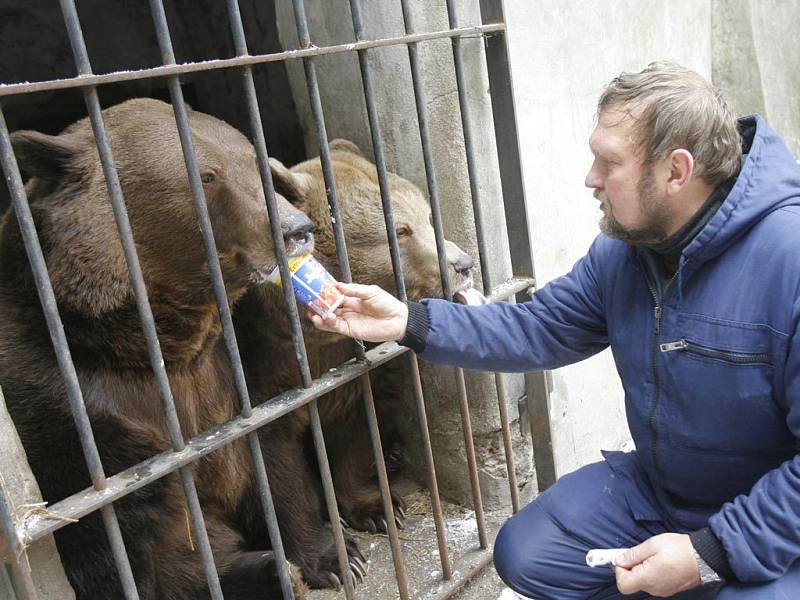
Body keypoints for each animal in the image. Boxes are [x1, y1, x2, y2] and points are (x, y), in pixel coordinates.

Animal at [0, 99, 324, 600]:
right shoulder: (61, 399)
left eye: (254, 161)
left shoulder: (238, 364)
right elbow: (121, 543)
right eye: (206, 176)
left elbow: (275, 451)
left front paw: (331, 555)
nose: (296, 229)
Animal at [233, 139, 482, 552]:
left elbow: (359, 428)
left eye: (429, 217)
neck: (315, 341)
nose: (463, 264)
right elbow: (275, 458)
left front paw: (379, 508)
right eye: (400, 230)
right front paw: (337, 553)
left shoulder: (365, 363)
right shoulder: (261, 370)